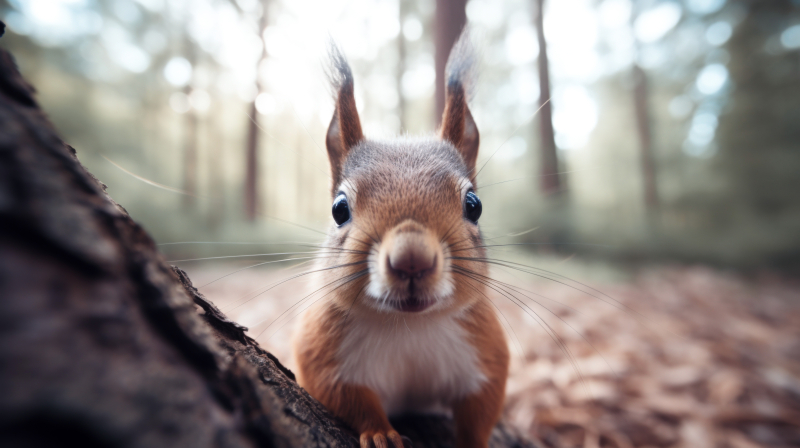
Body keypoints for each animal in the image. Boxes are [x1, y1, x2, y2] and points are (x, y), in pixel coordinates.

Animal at [292, 31, 509, 448]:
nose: (412, 259)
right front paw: (381, 433)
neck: (407, 327)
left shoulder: (483, 349)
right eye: (339, 209)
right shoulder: (323, 349)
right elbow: (347, 396)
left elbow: (481, 409)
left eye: (474, 205)